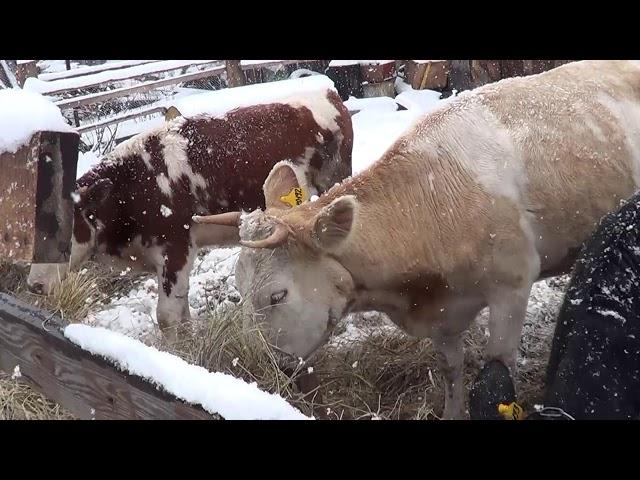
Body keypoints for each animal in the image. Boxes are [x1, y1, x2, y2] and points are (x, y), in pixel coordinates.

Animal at [67, 88, 352, 340]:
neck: (132, 184)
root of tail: (326, 92)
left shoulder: (175, 249)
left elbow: (168, 317)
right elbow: (181, 313)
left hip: (335, 178)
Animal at [196, 60, 640, 418]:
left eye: (277, 295)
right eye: (238, 288)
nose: (255, 372)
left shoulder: (511, 287)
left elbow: (498, 372)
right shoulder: (442, 315)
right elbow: (451, 372)